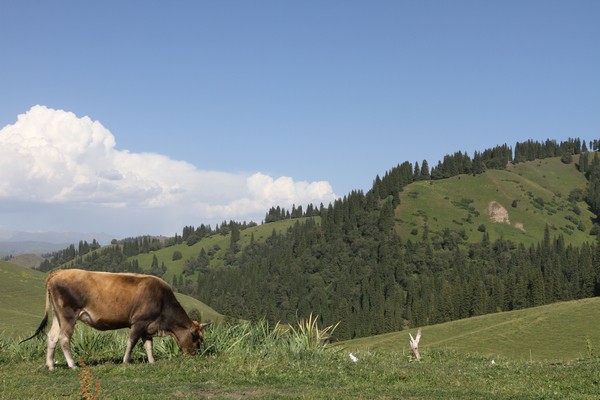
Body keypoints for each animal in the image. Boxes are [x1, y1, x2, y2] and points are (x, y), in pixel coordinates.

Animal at [22, 268, 210, 370]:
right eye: (196, 337)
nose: (195, 355)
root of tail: (59, 272)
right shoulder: (139, 322)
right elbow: (131, 342)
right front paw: (126, 361)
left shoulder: (148, 326)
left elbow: (148, 346)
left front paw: (152, 361)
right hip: (68, 315)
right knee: (63, 338)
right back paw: (72, 364)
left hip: (57, 315)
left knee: (52, 337)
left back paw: (51, 366)